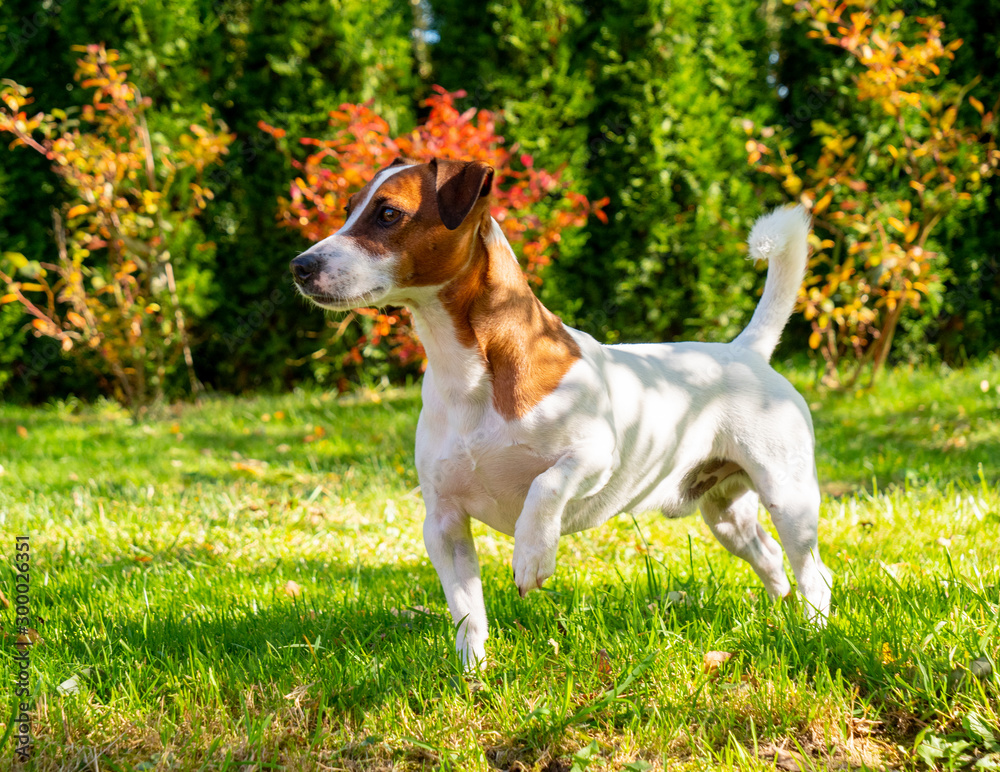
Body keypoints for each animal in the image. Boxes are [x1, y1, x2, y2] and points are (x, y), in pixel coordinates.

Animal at [292, 158, 836, 668]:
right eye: (348, 211)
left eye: (388, 214)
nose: (299, 266)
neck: (472, 371)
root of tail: (746, 351)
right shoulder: (443, 523)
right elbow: (467, 609)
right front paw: (473, 672)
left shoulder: (594, 455)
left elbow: (545, 485)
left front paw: (533, 555)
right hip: (725, 514)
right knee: (771, 559)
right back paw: (777, 616)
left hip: (790, 499)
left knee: (814, 574)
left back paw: (813, 632)